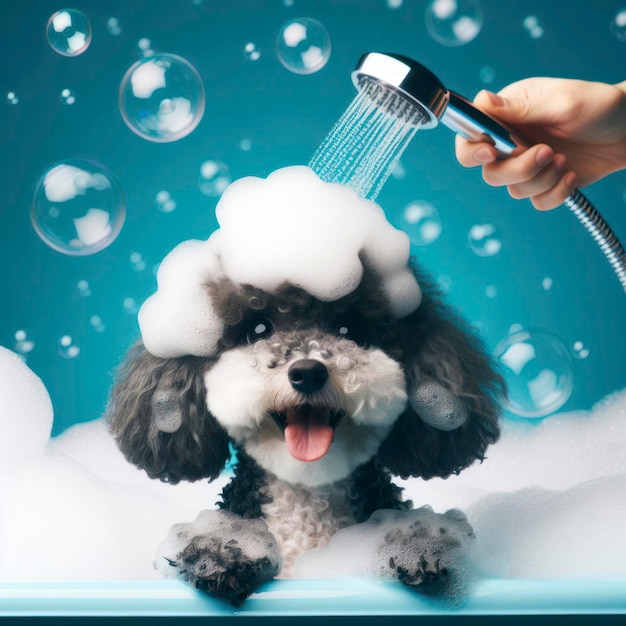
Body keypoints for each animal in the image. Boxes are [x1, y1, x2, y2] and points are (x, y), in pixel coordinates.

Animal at [103, 166, 502, 604]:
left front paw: (419, 545)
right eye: (258, 329)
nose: (308, 372)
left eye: (349, 329)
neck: (308, 500)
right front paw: (219, 553)